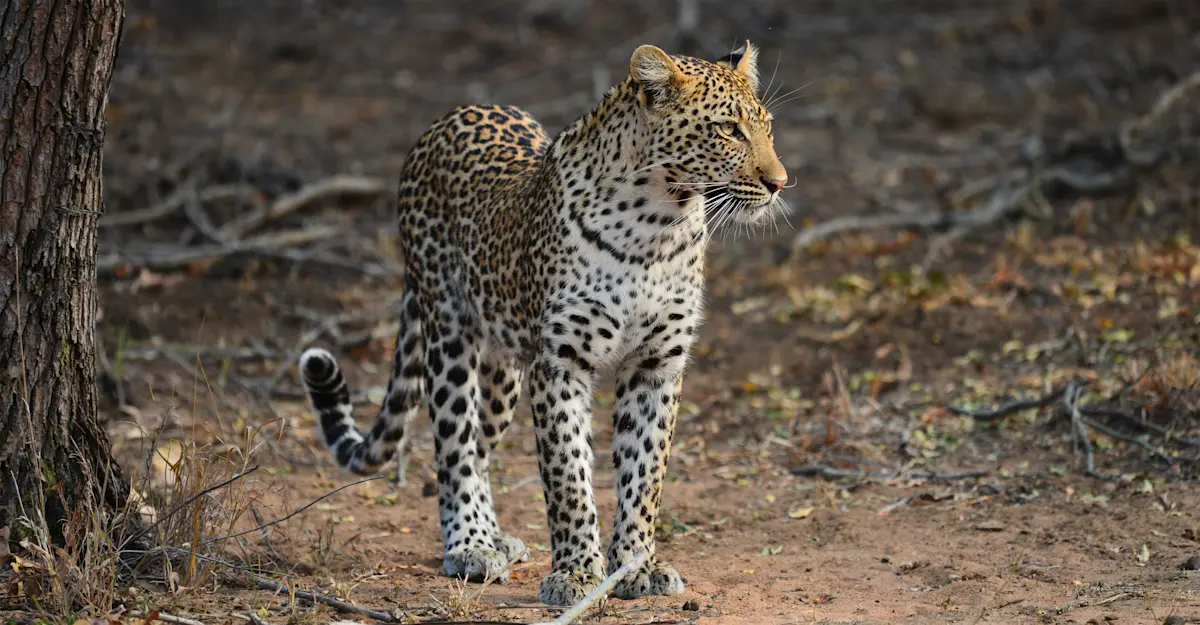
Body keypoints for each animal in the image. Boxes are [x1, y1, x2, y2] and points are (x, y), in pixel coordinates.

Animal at [298, 41, 789, 606]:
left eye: (767, 127)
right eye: (728, 129)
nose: (779, 183)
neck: (659, 224)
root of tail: (455, 113)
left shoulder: (657, 364)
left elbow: (645, 473)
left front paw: (637, 565)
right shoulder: (560, 362)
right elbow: (568, 475)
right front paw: (576, 574)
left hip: (504, 372)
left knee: (479, 445)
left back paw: (493, 538)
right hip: (449, 333)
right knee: (453, 445)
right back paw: (469, 545)